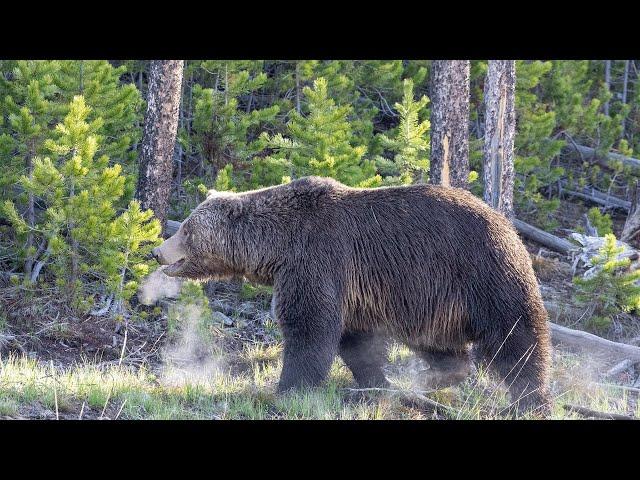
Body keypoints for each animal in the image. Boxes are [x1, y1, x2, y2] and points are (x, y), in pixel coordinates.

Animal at [152, 176, 552, 416]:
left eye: (187, 229)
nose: (158, 251)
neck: (276, 248)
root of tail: (510, 226)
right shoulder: (352, 290)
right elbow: (354, 340)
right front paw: (377, 384)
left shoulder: (318, 258)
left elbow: (309, 328)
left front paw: (288, 390)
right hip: (434, 304)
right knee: (440, 345)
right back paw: (436, 376)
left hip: (483, 275)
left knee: (516, 339)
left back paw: (531, 400)